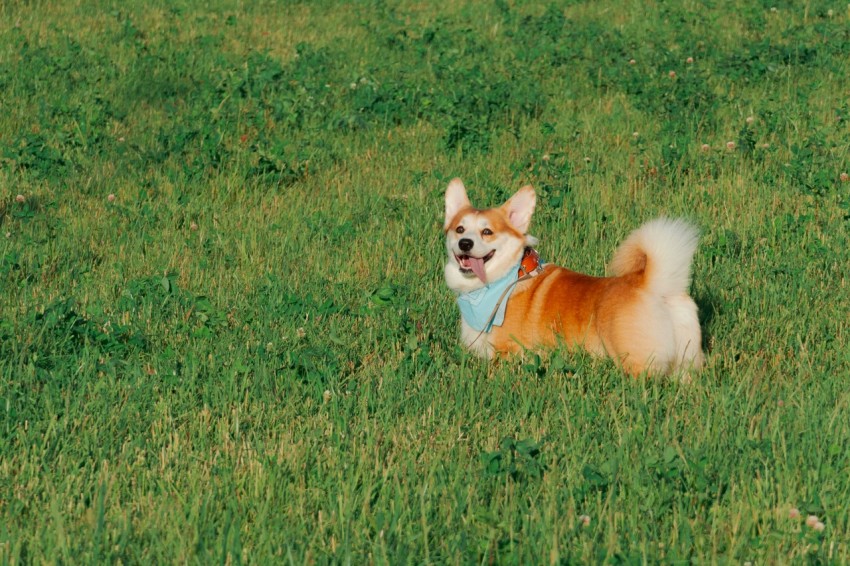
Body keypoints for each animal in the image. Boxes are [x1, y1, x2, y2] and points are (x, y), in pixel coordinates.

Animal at [444, 179, 704, 378]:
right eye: (459, 229)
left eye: (487, 232)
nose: (464, 243)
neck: (504, 279)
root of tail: (652, 283)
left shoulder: (508, 351)